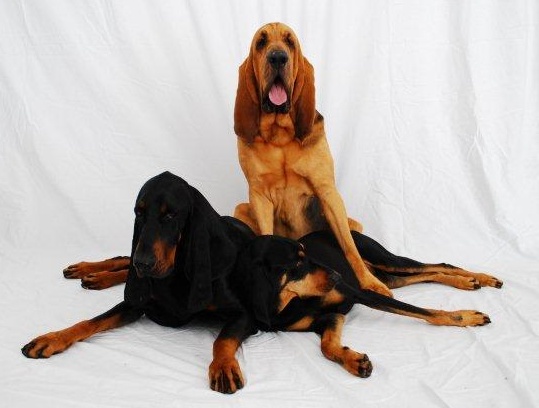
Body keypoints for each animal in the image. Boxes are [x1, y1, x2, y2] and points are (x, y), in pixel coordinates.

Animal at [21, 171, 502, 392]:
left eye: (171, 215)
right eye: (141, 213)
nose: (337, 277)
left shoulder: (336, 302)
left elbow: (428, 313)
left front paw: (465, 317)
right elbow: (87, 323)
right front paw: (49, 338)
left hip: (381, 266)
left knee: (434, 266)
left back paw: (478, 281)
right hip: (385, 275)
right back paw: (89, 272)